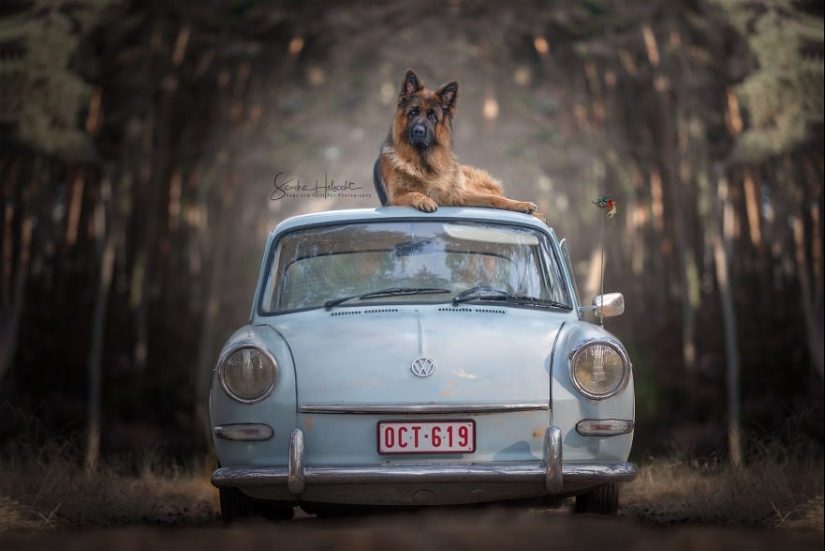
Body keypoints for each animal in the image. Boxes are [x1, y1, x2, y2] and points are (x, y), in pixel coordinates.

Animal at [374, 68, 540, 216]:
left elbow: (494, 199)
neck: (425, 162)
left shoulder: (458, 195)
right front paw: (426, 200)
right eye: (413, 112)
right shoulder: (395, 198)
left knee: (495, 193)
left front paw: (522, 205)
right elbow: (414, 193)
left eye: (432, 116)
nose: (418, 131)